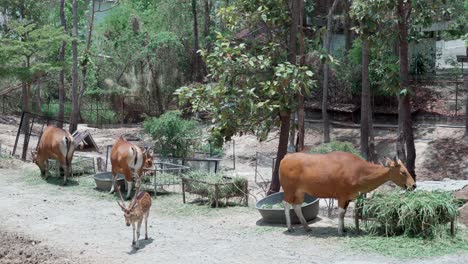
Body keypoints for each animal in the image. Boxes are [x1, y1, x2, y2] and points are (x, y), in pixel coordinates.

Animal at [280, 152, 414, 236]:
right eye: (403, 172)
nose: (413, 185)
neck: (359, 171)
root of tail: (286, 157)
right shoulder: (342, 196)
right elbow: (340, 213)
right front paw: (340, 231)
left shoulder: (348, 198)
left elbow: (343, 214)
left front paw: (344, 229)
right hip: (289, 190)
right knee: (286, 204)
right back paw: (290, 227)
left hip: (300, 192)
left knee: (297, 206)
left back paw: (307, 227)